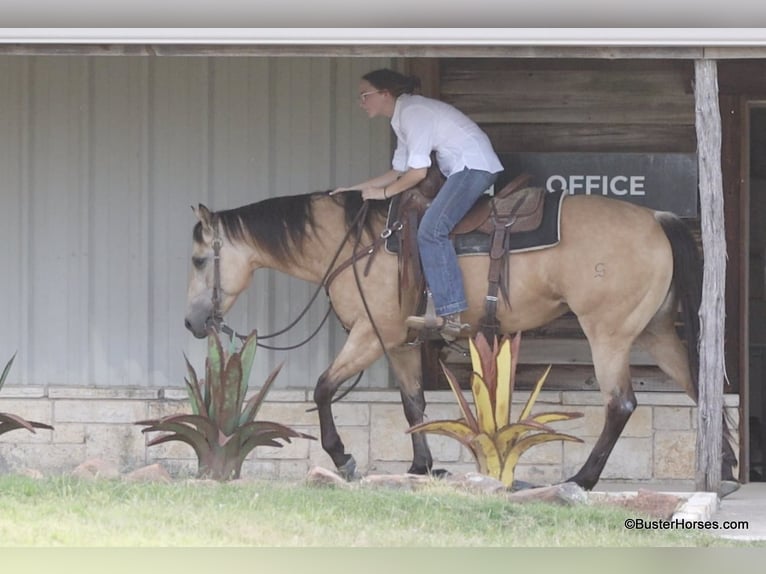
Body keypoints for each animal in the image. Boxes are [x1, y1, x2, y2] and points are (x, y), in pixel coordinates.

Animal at [184, 187, 738, 490]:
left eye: (198, 259)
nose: (191, 323)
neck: (357, 245)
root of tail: (656, 220)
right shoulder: (399, 342)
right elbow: (412, 403)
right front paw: (421, 467)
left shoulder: (372, 333)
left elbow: (322, 388)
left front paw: (343, 457)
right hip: (657, 332)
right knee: (702, 390)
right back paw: (727, 467)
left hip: (609, 333)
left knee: (620, 404)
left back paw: (581, 479)